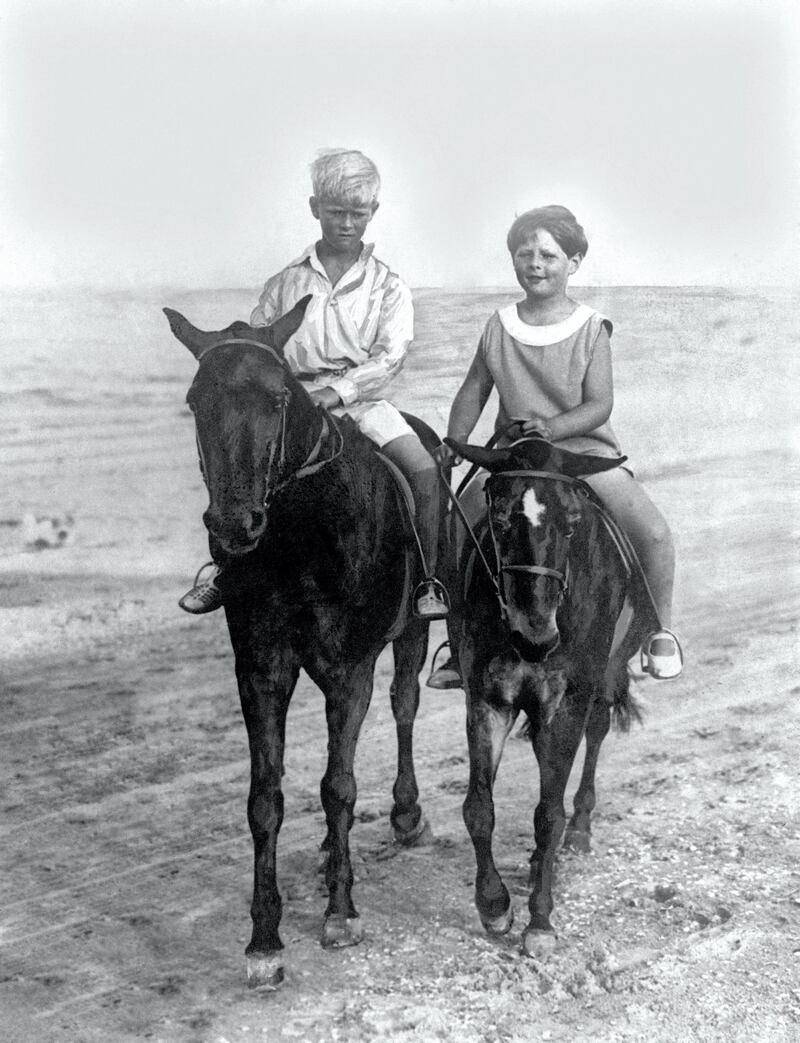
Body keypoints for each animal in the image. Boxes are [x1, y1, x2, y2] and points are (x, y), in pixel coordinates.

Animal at [164, 300, 438, 984]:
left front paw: (340, 914)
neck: (302, 536)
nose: (234, 525)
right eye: (195, 400)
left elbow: (339, 786)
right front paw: (264, 939)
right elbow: (266, 799)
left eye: (279, 398)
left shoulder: (350, 670)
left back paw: (406, 815)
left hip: (413, 631)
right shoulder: (261, 670)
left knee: (403, 706)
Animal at [444, 433, 659, 959]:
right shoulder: (488, 699)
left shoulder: (566, 703)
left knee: (596, 735)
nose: (535, 636)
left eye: (573, 524)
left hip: (605, 676)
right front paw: (494, 906)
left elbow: (548, 815)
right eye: (499, 520)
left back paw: (578, 829)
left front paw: (540, 920)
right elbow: (478, 808)